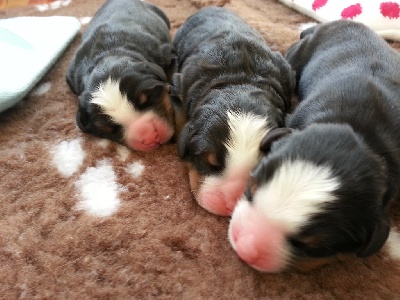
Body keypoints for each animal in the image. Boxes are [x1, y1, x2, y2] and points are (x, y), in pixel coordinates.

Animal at [228, 18, 400, 272]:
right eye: (251, 188)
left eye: (307, 246)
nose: (244, 246)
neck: (359, 130)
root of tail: (331, 24)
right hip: (297, 55)